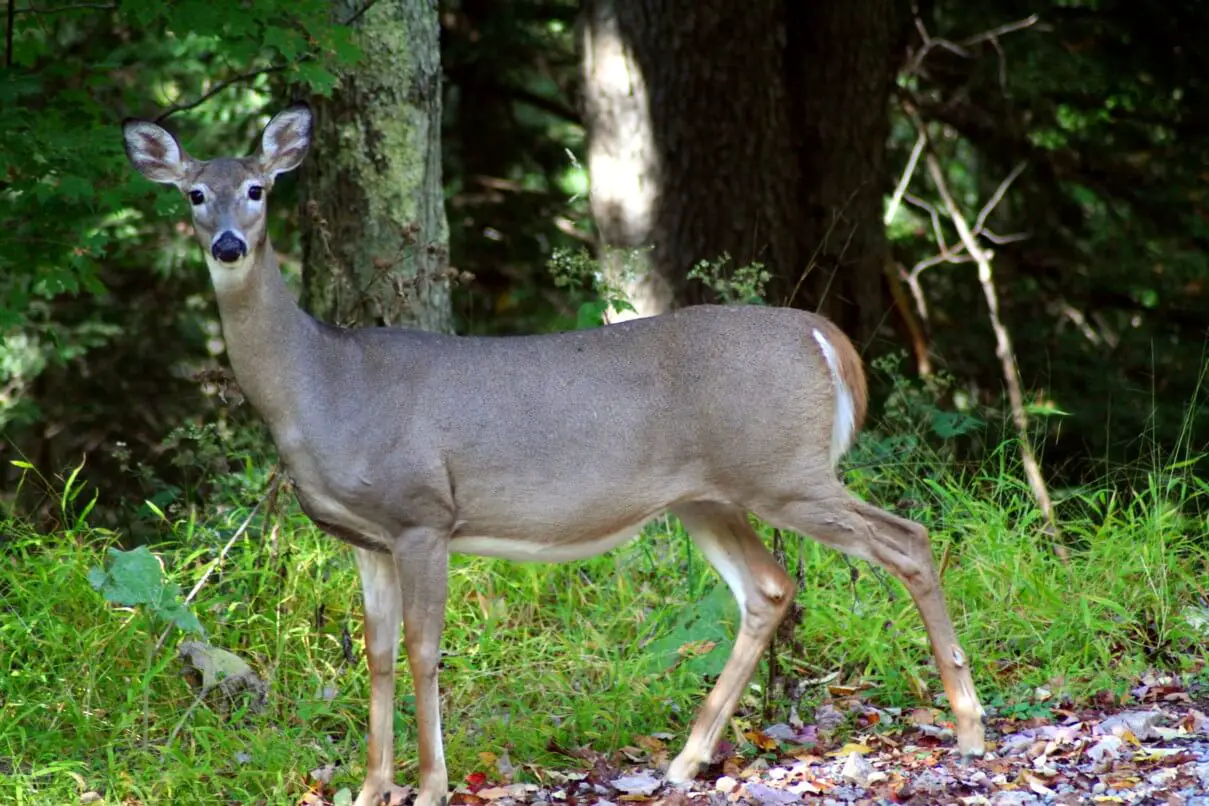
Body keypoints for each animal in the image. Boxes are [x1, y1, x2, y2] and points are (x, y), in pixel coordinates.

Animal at [125, 105, 991, 806]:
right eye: (193, 195)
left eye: (258, 188)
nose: (228, 244)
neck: (322, 385)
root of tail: (826, 338)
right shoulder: (362, 537)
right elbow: (376, 654)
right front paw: (372, 787)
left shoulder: (423, 514)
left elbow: (423, 649)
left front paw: (429, 785)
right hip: (708, 495)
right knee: (769, 587)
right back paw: (685, 760)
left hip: (782, 471)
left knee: (906, 540)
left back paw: (969, 727)